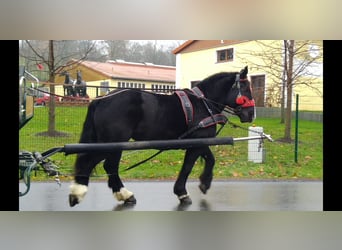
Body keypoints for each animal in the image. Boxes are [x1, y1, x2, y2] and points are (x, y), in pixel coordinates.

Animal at [68, 66, 255, 207]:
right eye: (246, 88)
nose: (251, 114)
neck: (203, 104)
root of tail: (101, 99)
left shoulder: (199, 141)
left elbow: (210, 159)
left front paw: (204, 183)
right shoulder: (196, 143)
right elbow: (188, 167)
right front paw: (182, 193)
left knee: (106, 166)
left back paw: (123, 195)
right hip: (114, 142)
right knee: (96, 162)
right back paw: (81, 192)